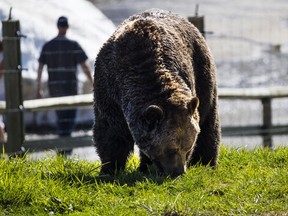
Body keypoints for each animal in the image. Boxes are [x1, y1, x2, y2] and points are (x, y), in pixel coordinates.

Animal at [93, 8, 220, 177]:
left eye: (187, 147)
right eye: (171, 150)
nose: (178, 171)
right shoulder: (108, 89)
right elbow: (110, 132)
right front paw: (109, 169)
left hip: (202, 70)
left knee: (208, 119)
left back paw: (206, 162)